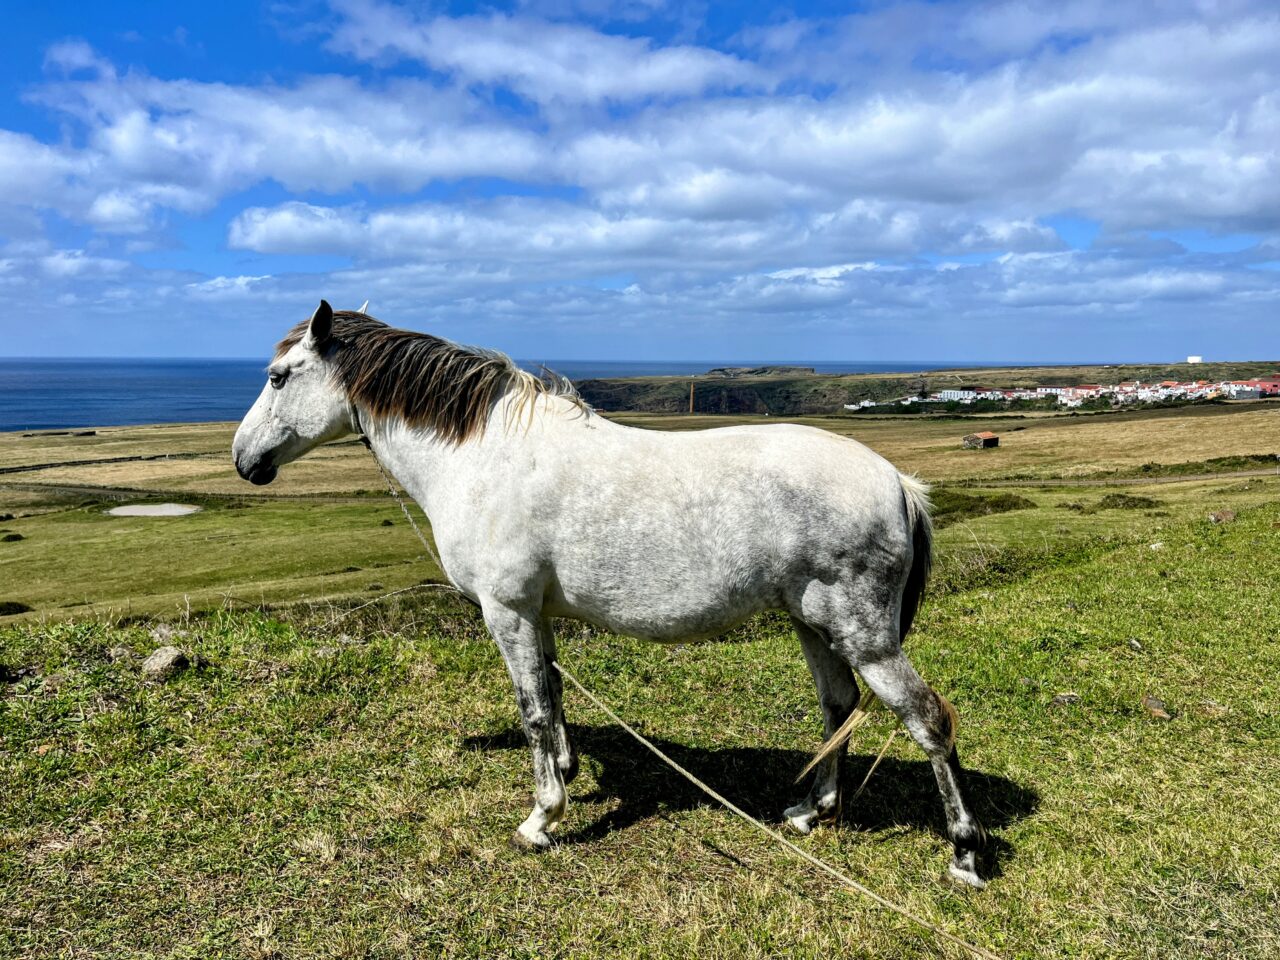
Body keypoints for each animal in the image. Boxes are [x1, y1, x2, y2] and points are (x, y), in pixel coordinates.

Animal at [232, 304, 988, 890]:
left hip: (864, 635)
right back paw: (811, 811)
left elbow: (534, 710)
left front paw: (542, 818)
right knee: (840, 707)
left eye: (278, 376)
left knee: (927, 719)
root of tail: (897, 482)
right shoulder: (536, 615)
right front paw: (567, 774)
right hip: (815, 623)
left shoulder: (507, 612)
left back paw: (964, 854)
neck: (481, 458)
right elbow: (553, 696)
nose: (244, 460)